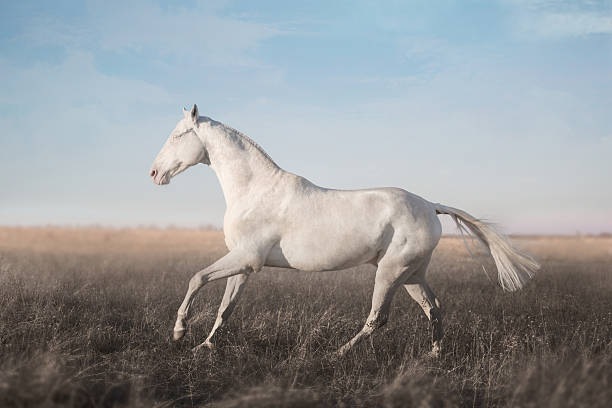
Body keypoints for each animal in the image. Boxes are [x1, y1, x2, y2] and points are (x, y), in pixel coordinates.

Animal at [151, 106, 536, 356]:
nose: (154, 173)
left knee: (378, 318)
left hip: (390, 272)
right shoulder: (244, 265)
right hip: (412, 275)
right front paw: (204, 346)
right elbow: (225, 308)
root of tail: (431, 205)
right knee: (434, 308)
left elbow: (197, 278)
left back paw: (336, 354)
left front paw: (179, 333)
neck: (254, 189)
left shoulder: (246, 258)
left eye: (178, 135)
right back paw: (433, 356)